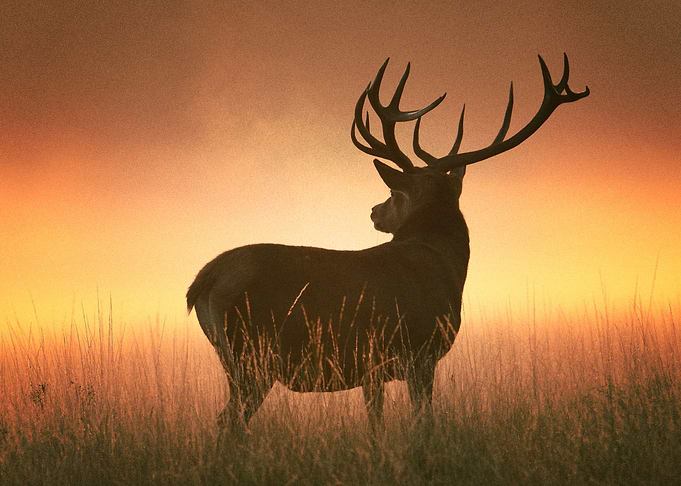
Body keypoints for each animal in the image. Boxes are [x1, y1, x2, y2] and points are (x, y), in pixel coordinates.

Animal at [187, 54, 589, 437]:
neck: (445, 267)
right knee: (228, 422)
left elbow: (376, 424)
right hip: (252, 354)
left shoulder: (373, 368)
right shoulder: (420, 352)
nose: (374, 212)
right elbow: (423, 423)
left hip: (239, 359)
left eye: (394, 195)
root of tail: (203, 281)